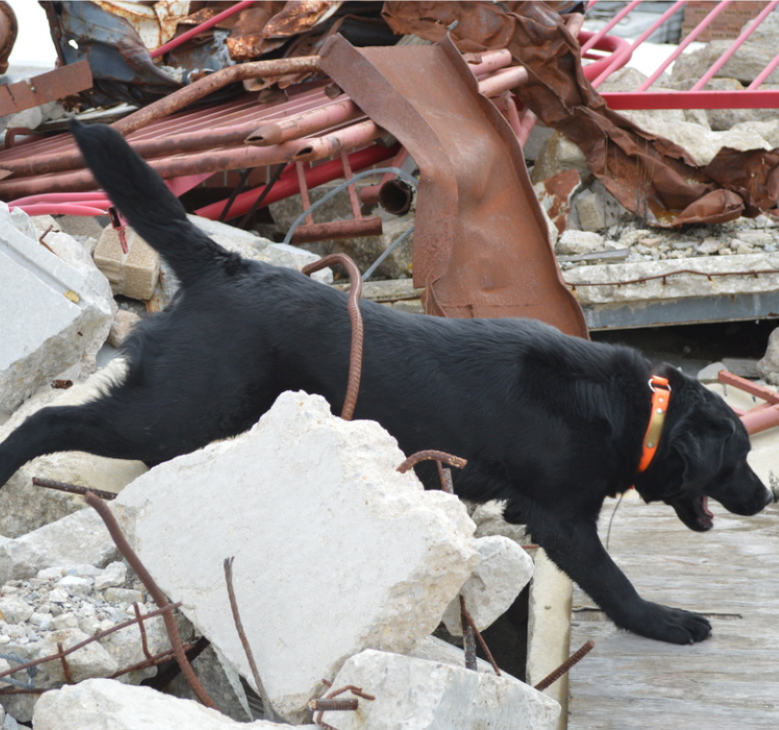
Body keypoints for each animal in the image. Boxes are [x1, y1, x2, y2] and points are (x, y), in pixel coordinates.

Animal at [0, 121, 772, 644]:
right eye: (736, 458)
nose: (764, 496)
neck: (635, 410)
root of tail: (225, 265)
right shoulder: (563, 519)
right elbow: (611, 579)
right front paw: (661, 620)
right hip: (182, 407)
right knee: (49, 422)